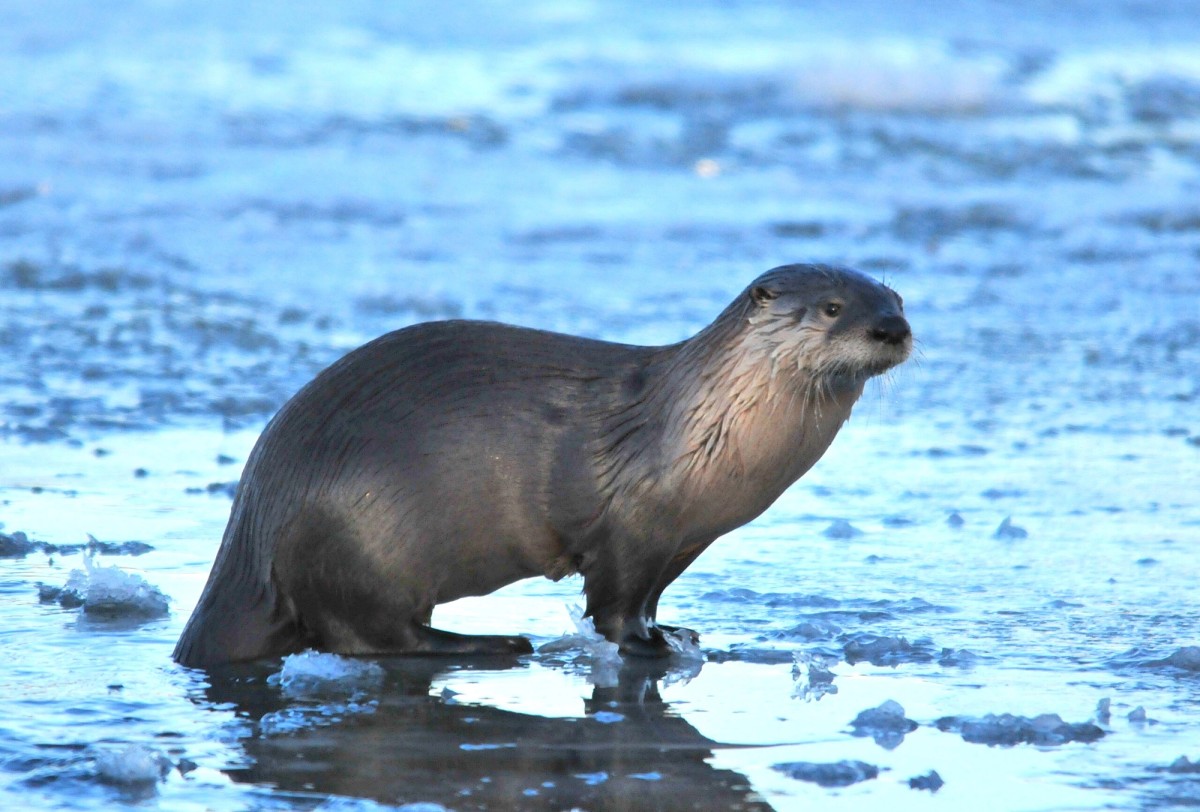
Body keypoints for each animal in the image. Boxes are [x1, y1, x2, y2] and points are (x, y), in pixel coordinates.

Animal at [173, 264, 911, 667]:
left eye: (897, 299)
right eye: (833, 308)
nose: (892, 330)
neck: (700, 429)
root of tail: (254, 522)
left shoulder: (683, 540)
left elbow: (651, 598)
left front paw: (673, 629)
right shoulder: (631, 526)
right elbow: (612, 606)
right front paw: (646, 646)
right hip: (356, 535)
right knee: (367, 635)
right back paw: (492, 643)